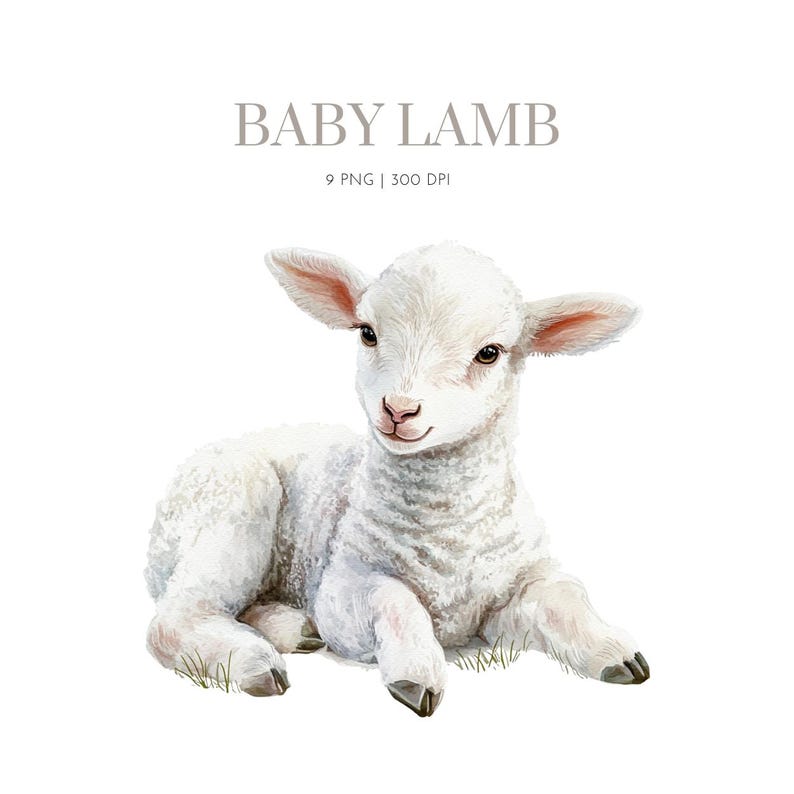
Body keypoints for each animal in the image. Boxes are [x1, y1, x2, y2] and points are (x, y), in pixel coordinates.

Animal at [145, 241, 649, 716]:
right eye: (367, 333)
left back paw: (293, 629)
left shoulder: (513, 592)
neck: (449, 530)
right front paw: (416, 676)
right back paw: (255, 662)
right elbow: (396, 600)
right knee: (175, 618)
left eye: (490, 353)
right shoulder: (344, 585)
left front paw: (615, 654)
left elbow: (566, 597)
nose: (399, 409)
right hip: (234, 505)